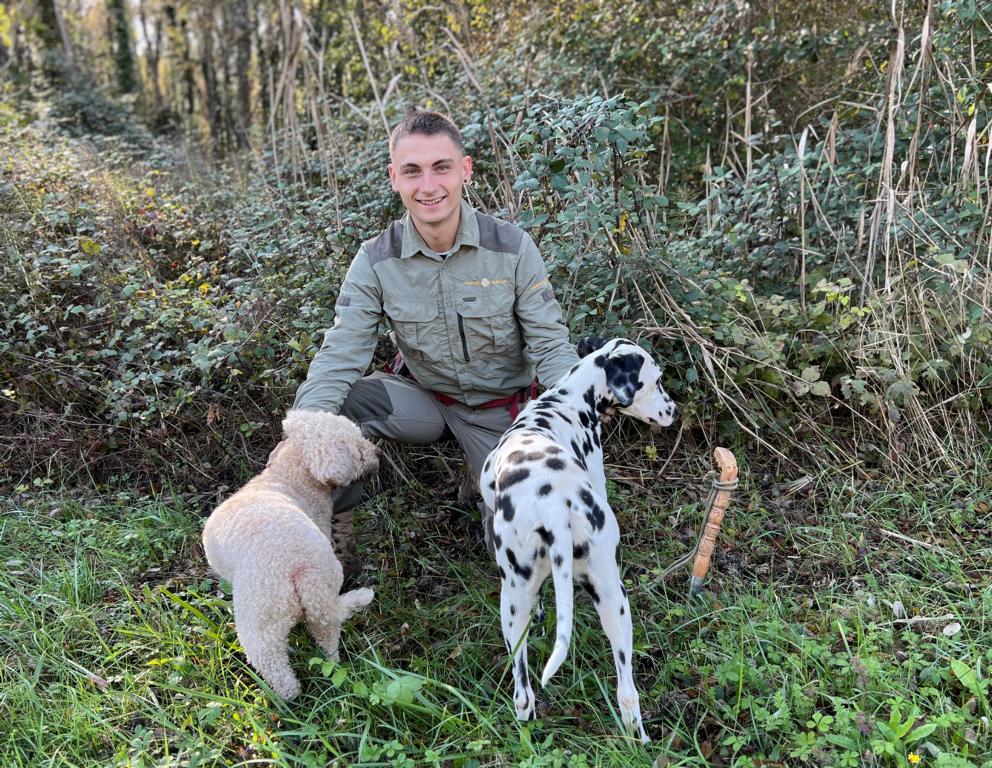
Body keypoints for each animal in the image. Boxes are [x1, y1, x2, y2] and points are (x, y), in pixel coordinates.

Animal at [202, 412, 380, 700]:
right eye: (356, 447)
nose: (378, 453)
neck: (289, 476)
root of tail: (301, 569)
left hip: (260, 621)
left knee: (273, 666)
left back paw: (288, 699)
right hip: (321, 597)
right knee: (327, 636)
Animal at [478, 338, 680, 744]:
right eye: (656, 381)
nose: (675, 411)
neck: (568, 400)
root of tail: (553, 504)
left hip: (513, 604)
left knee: (523, 693)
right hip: (615, 601)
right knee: (626, 692)